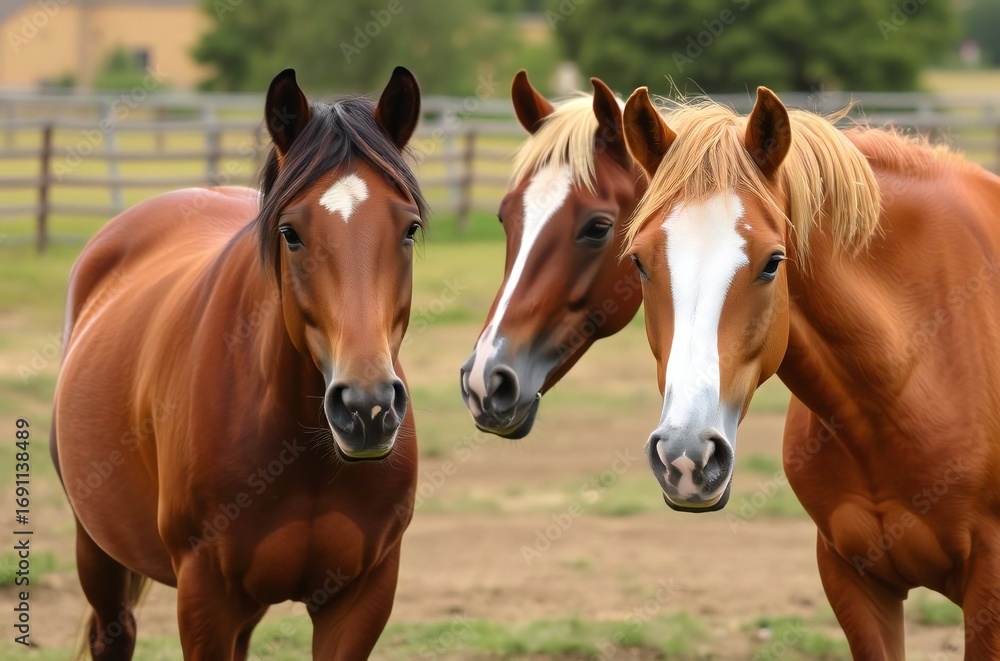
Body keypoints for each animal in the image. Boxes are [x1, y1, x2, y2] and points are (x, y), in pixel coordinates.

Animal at [51, 67, 426, 660]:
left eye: (409, 229)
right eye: (291, 233)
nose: (366, 409)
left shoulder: (361, 595)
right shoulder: (205, 595)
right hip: (97, 548)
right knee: (114, 629)